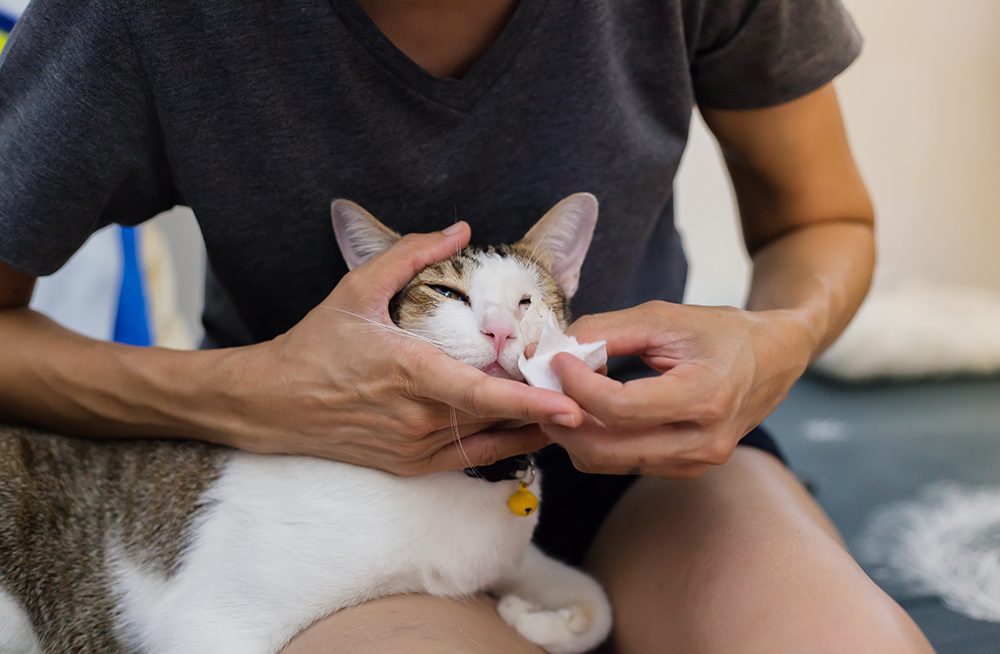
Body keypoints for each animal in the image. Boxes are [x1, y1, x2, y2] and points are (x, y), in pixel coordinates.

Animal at [0, 193, 608, 654]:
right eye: (447, 293)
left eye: (528, 301)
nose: (501, 330)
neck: (463, 478)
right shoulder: (210, 625)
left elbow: (597, 606)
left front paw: (535, 618)